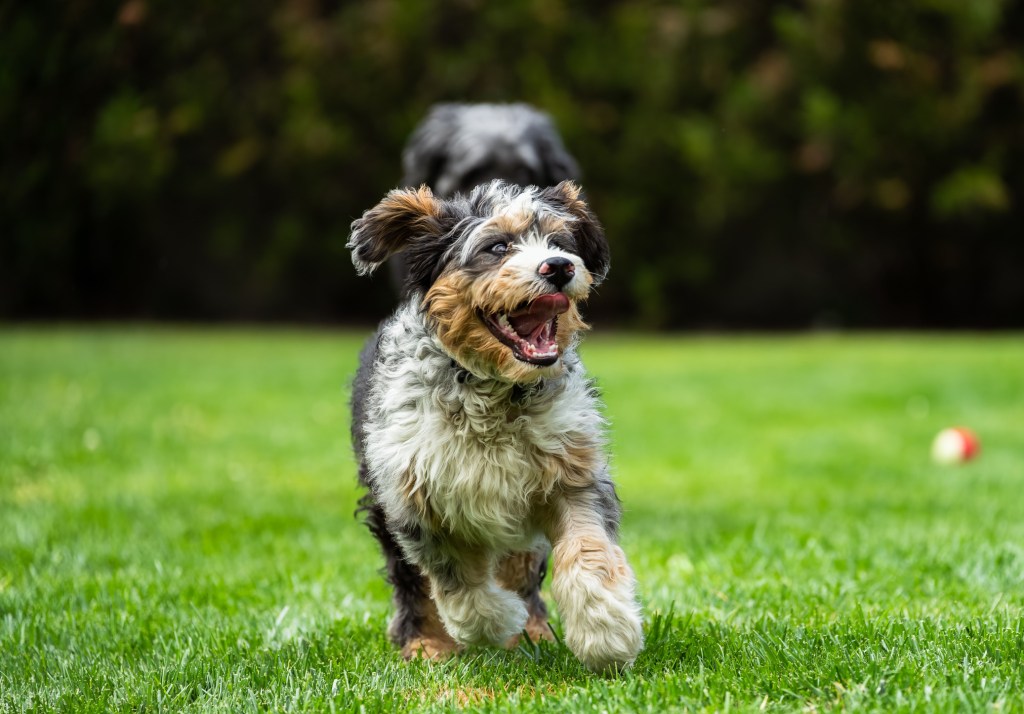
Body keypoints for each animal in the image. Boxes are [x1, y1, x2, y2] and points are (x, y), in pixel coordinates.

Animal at [348, 179, 643, 672]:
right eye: (497, 247)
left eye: (560, 242)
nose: (559, 267)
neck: (495, 391)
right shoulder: (412, 497)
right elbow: (457, 581)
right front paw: (493, 621)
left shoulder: (572, 472)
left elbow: (587, 549)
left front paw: (606, 631)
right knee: (414, 583)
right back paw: (427, 643)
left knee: (519, 566)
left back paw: (535, 630)